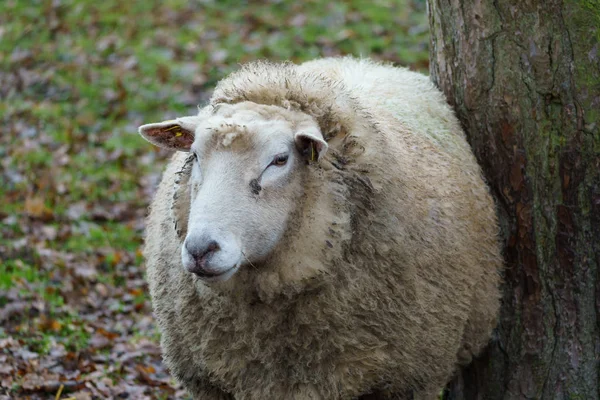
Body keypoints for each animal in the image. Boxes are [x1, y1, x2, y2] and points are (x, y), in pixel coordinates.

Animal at [136, 57, 502, 400]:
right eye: (195, 155)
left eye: (280, 159)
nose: (201, 249)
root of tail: (361, 61)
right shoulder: (209, 384)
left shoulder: (409, 382)